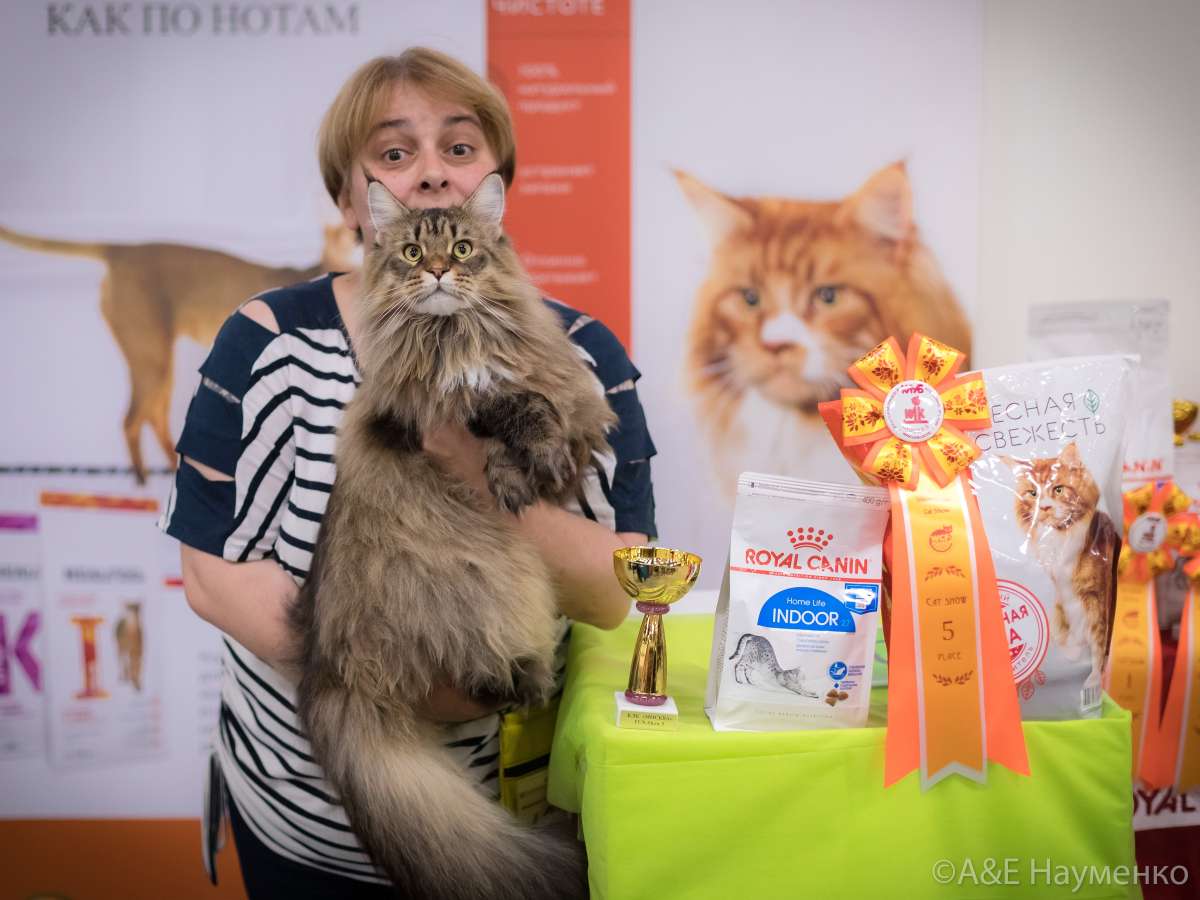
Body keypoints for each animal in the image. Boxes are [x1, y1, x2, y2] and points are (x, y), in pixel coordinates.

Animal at [0, 223, 357, 484]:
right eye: (342, 234)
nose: (355, 239)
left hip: (160, 366)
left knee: (153, 416)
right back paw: (143, 484)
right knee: (132, 420)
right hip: (152, 359)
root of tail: (122, 250)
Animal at [1001, 441, 1118, 691]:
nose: (1044, 508)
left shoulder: (1095, 594)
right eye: (1033, 493)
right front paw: (1071, 654)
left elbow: (1098, 639)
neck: (1060, 537)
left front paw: (1093, 679)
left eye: (1058, 489)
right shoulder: (1063, 595)